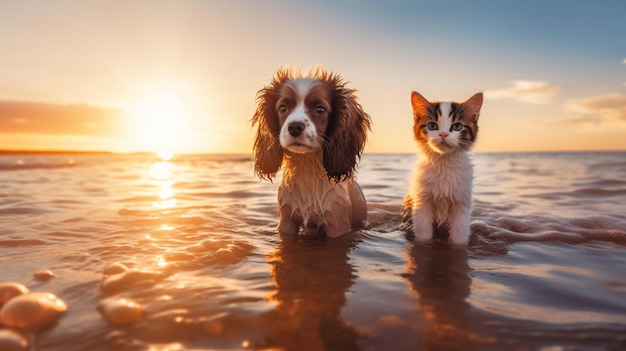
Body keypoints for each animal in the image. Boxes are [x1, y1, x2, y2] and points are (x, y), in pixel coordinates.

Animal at [251, 68, 370, 239]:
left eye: (320, 110)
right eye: (283, 108)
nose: (294, 127)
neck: (307, 164)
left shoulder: (337, 225)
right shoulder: (287, 221)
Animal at [400, 91, 482, 245]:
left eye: (457, 127)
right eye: (432, 126)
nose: (443, 134)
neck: (443, 162)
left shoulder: (461, 202)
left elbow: (459, 235)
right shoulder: (421, 202)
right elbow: (424, 233)